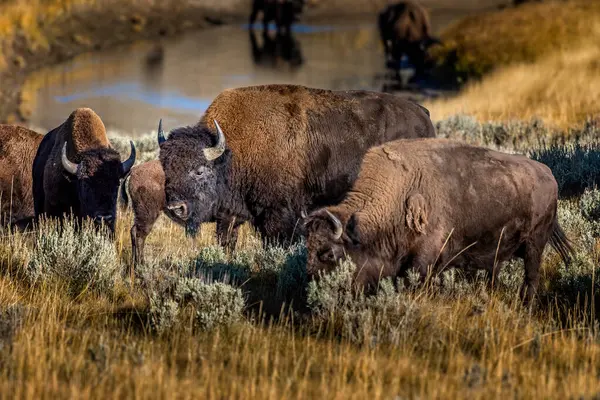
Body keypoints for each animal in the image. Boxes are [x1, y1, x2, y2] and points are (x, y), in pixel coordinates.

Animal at [157, 84, 434, 250]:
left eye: (199, 169)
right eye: (165, 168)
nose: (175, 208)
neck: (233, 152)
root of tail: (423, 113)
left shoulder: (279, 216)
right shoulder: (232, 217)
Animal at [308, 138, 576, 304]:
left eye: (329, 253)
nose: (314, 292)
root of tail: (549, 174)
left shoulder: (425, 258)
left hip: (534, 246)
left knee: (531, 278)